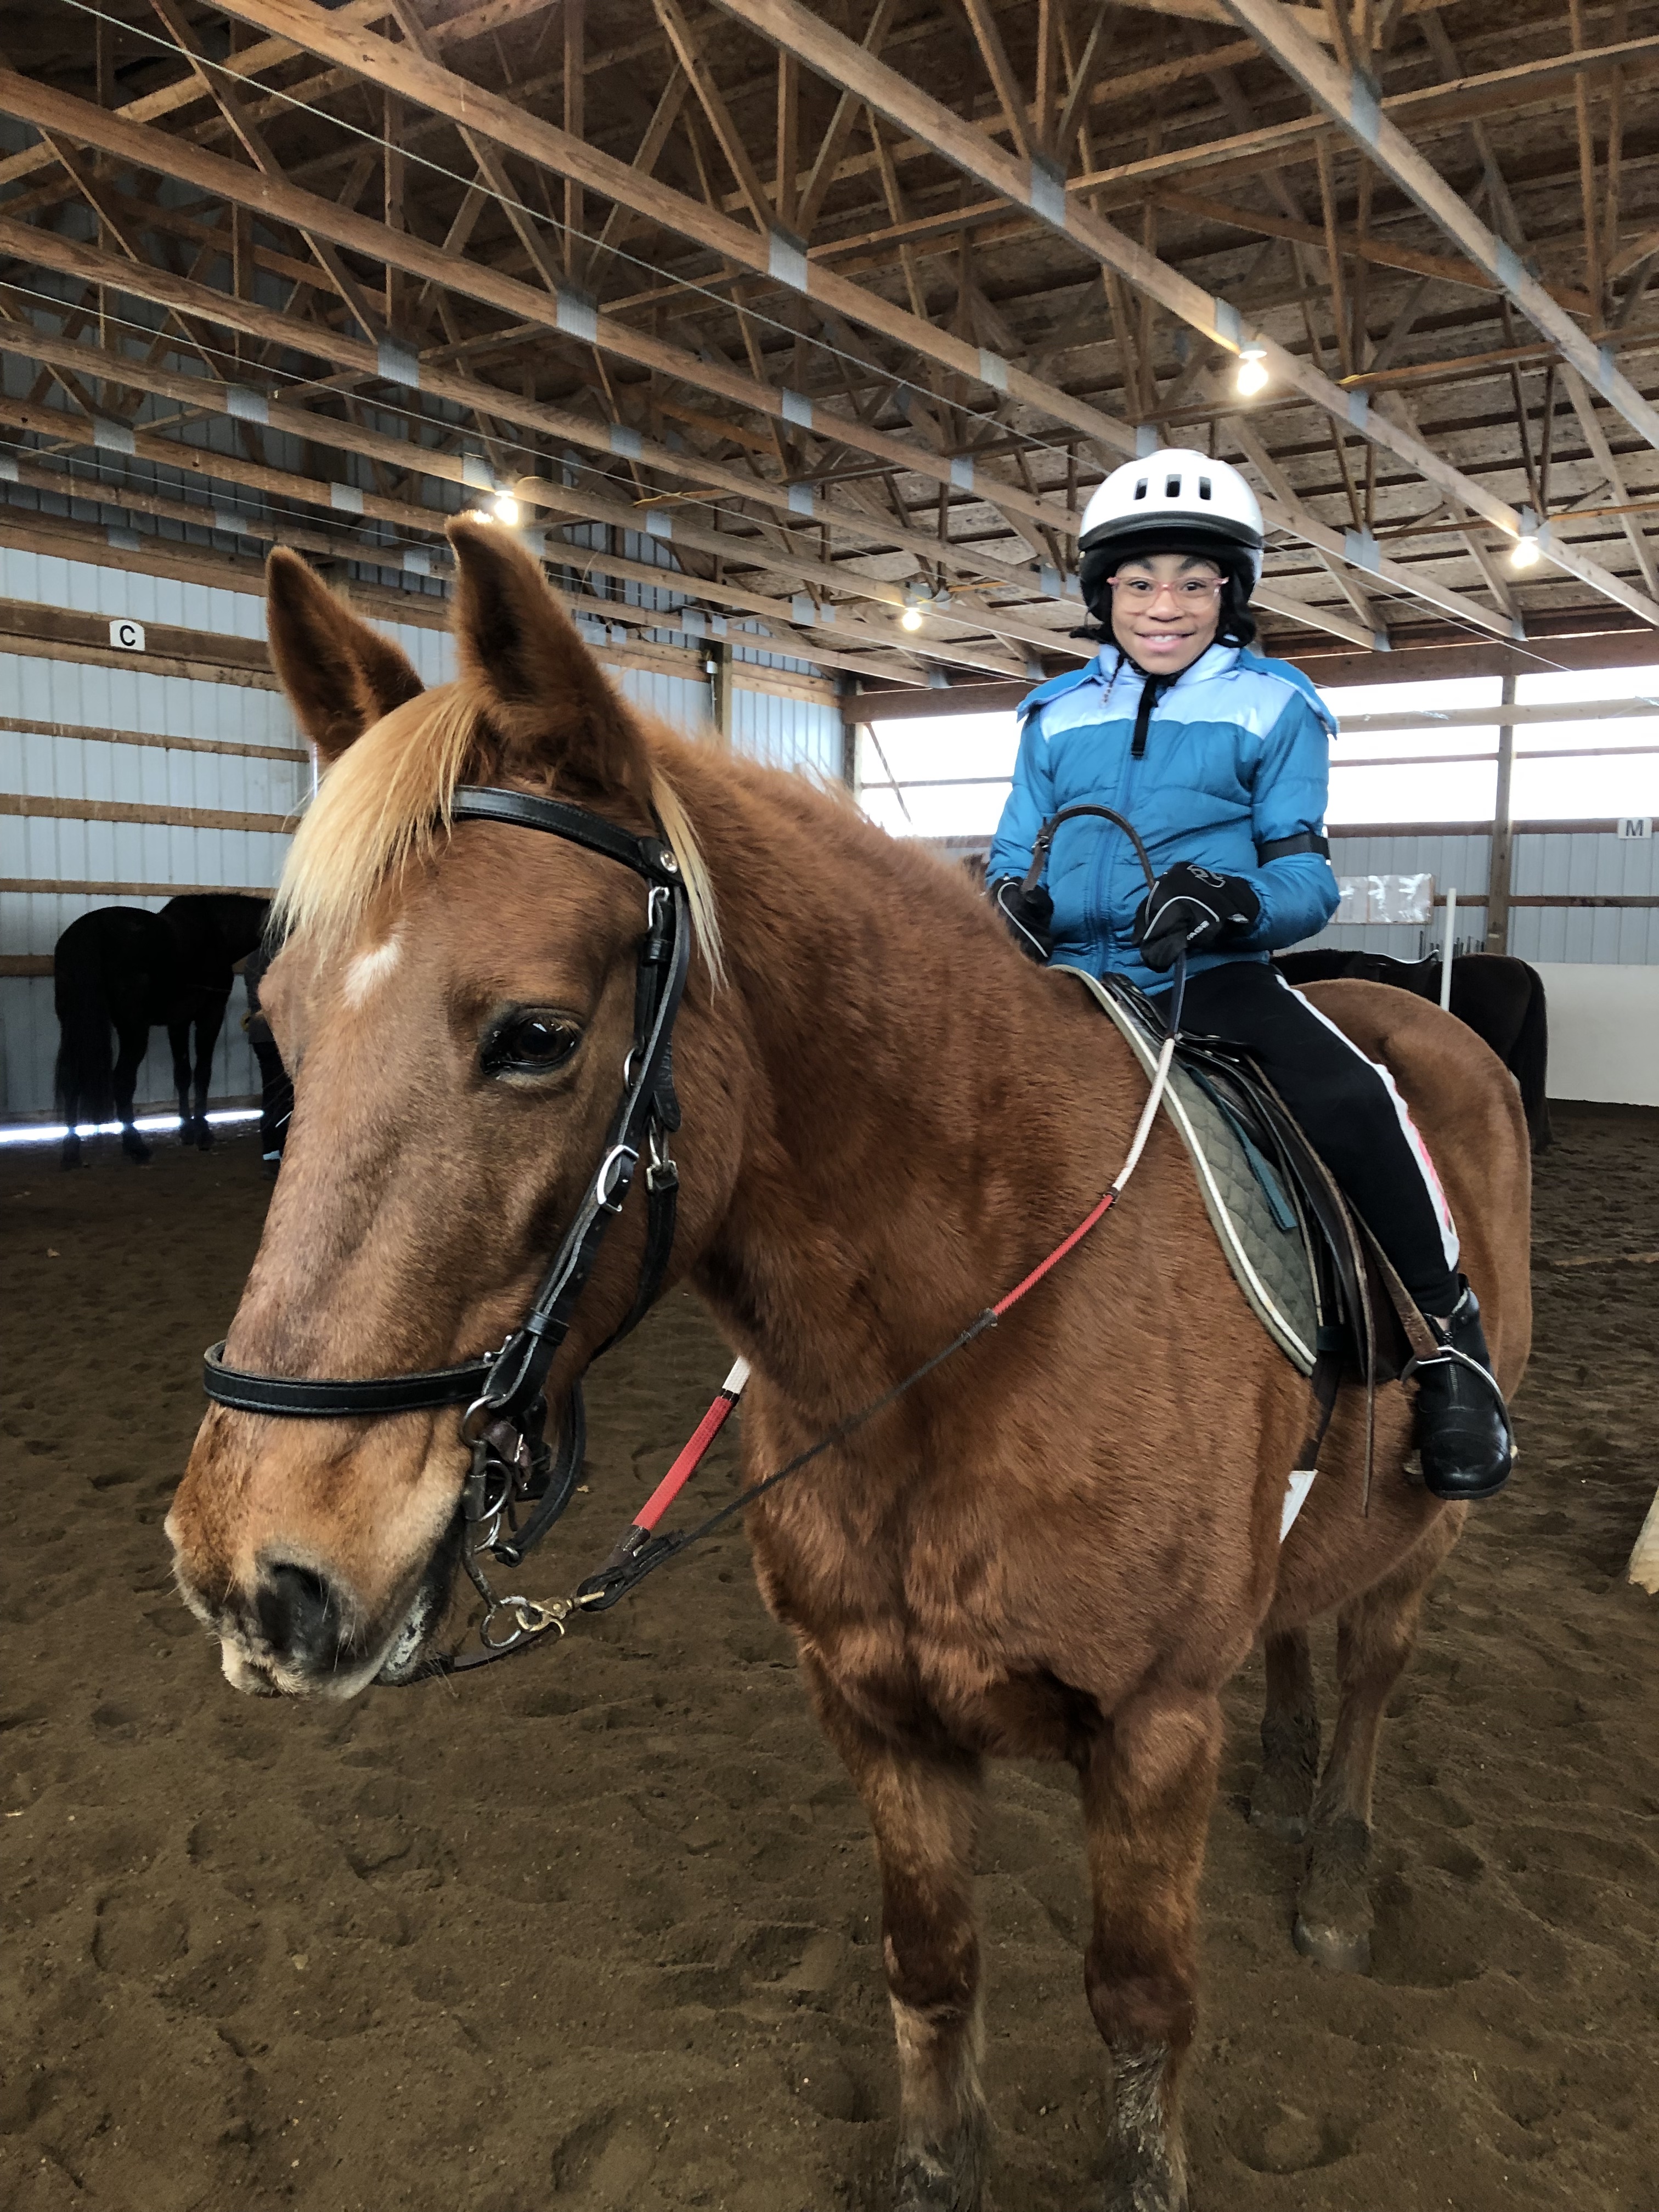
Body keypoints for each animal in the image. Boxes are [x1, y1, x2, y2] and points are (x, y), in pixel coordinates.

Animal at [53, 889, 269, 1167]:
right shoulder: (210, 1015)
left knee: (71, 1078)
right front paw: (203, 1134)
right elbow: (202, 1073)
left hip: (72, 1025)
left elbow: (183, 1074)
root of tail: (91, 929)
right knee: (122, 1081)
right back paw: (136, 1147)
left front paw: (187, 1131)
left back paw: (71, 1152)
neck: (216, 929)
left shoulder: (178, 1022)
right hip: (133, 1030)